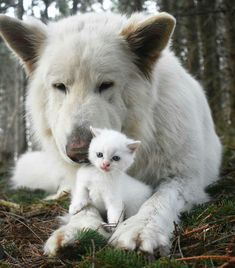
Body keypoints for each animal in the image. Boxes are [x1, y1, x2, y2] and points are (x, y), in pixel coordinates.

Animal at [0, 11, 222, 256]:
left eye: (105, 85)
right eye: (60, 86)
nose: (78, 153)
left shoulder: (184, 178)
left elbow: (158, 200)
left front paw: (140, 227)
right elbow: (84, 205)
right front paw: (80, 229)